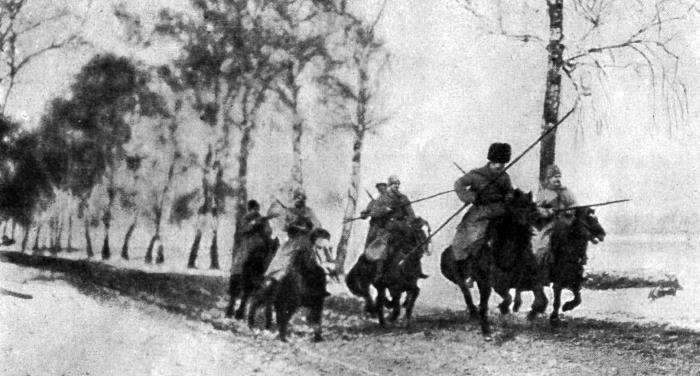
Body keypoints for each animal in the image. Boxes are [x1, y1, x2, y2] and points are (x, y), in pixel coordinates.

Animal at [440, 189, 544, 340]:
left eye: (532, 205)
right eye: (519, 206)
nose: (538, 220)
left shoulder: (526, 279)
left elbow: (538, 297)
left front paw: (529, 312)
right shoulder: (491, 283)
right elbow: (501, 299)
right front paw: (493, 322)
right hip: (460, 278)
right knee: (467, 293)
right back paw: (476, 315)